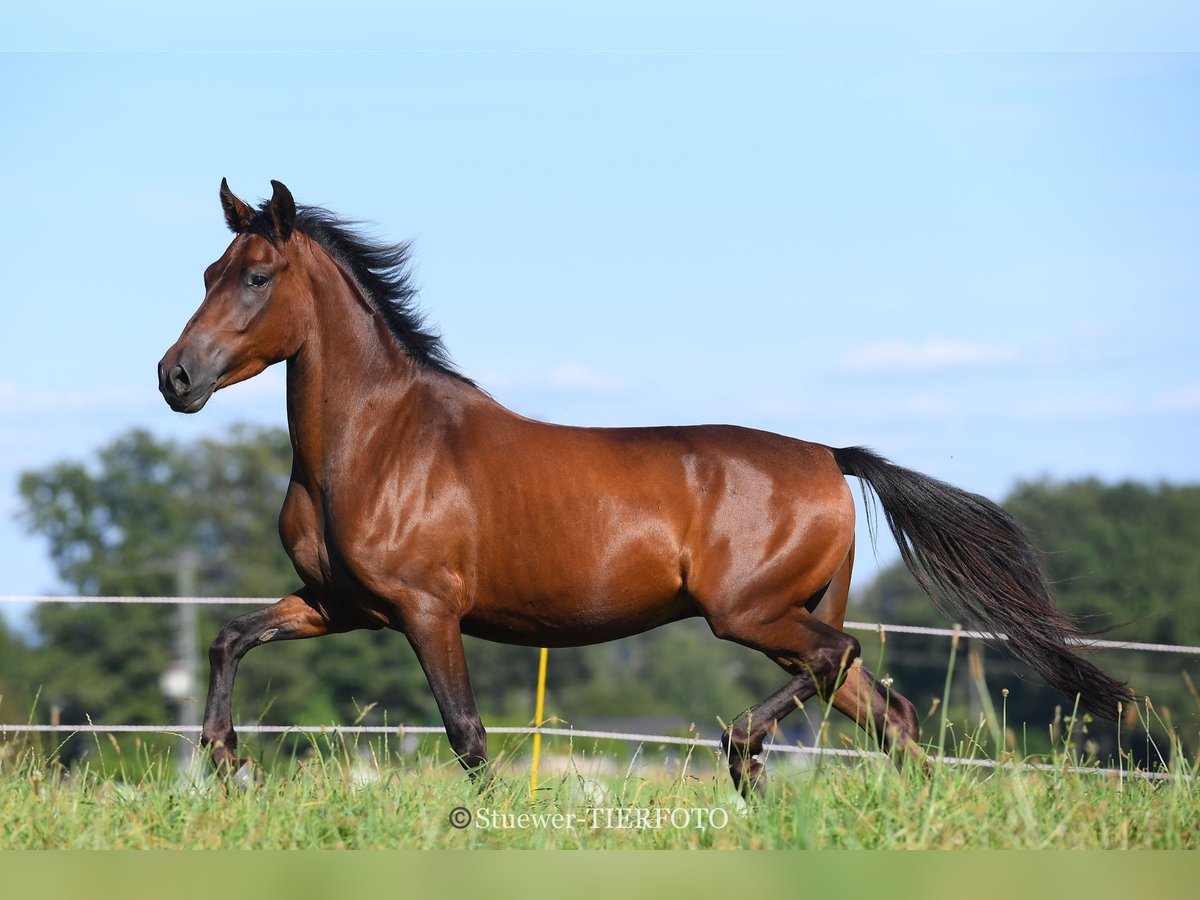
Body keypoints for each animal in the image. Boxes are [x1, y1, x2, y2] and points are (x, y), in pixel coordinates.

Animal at [162, 177, 1132, 796]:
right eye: (207, 274)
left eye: (257, 276)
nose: (176, 377)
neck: (381, 443)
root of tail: (829, 455)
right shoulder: (343, 604)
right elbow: (228, 639)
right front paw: (229, 761)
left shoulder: (426, 610)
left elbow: (468, 736)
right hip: (787, 616)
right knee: (883, 707)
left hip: (750, 614)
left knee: (840, 664)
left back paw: (742, 754)